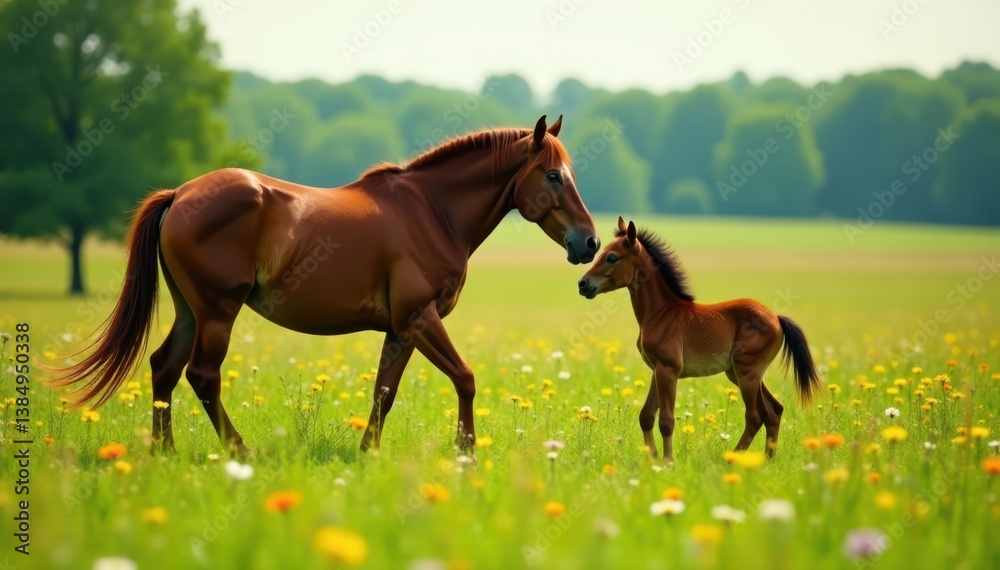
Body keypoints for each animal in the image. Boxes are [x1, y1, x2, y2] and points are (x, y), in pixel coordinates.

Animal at [50, 115, 600, 455]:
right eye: (554, 175)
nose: (590, 242)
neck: (431, 211)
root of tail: (181, 194)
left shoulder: (400, 329)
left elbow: (384, 393)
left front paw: (367, 454)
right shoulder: (420, 317)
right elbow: (465, 379)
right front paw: (465, 451)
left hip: (190, 311)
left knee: (164, 368)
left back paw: (165, 452)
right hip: (217, 312)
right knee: (202, 376)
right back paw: (239, 451)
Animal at [577, 218, 821, 461]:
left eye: (612, 257)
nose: (582, 283)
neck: (661, 313)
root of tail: (777, 318)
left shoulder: (668, 369)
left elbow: (666, 420)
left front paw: (667, 462)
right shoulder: (657, 369)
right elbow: (646, 416)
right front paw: (652, 460)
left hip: (747, 372)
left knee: (755, 415)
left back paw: (733, 458)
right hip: (740, 373)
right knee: (774, 410)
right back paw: (767, 460)